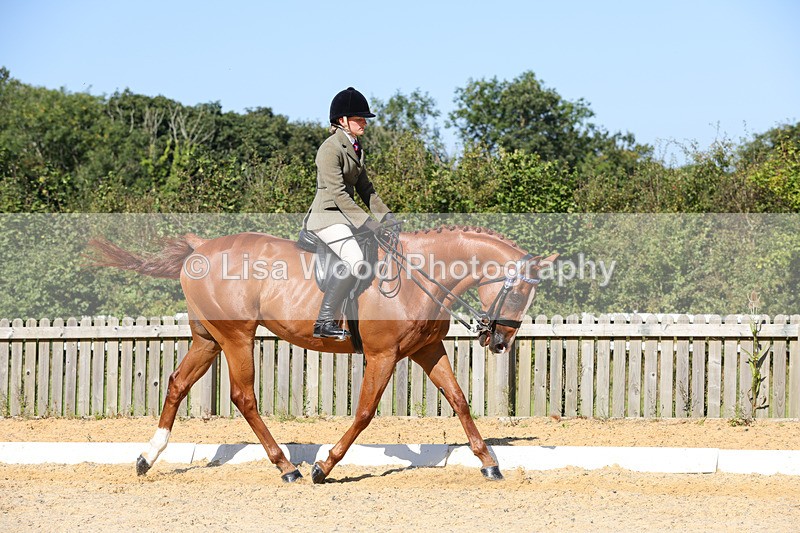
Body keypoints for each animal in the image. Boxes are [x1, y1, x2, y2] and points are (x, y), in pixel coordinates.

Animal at [88, 225, 556, 483]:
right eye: (519, 294)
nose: (499, 342)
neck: (419, 276)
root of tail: (200, 247)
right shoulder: (384, 355)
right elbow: (364, 412)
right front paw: (323, 466)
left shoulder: (426, 349)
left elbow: (458, 400)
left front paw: (489, 463)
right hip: (237, 337)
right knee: (244, 397)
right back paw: (288, 467)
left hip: (209, 339)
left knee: (177, 383)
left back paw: (147, 458)